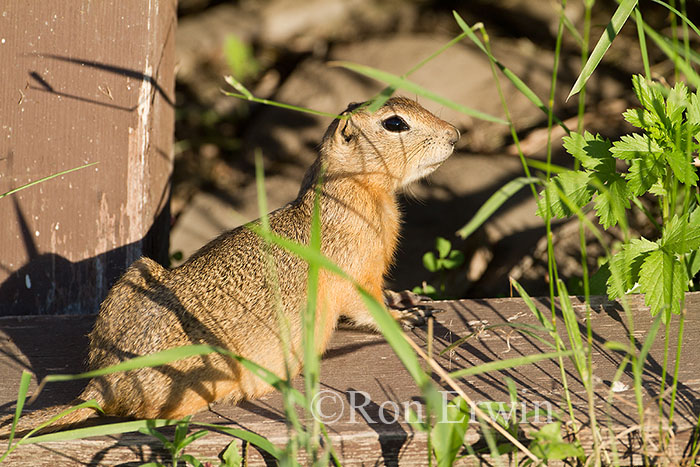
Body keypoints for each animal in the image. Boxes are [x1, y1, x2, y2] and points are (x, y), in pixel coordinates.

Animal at [2, 96, 459, 435]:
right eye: (395, 123)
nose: (455, 134)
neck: (351, 194)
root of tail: (103, 387)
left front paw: (409, 301)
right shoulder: (356, 279)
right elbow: (370, 310)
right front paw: (404, 318)